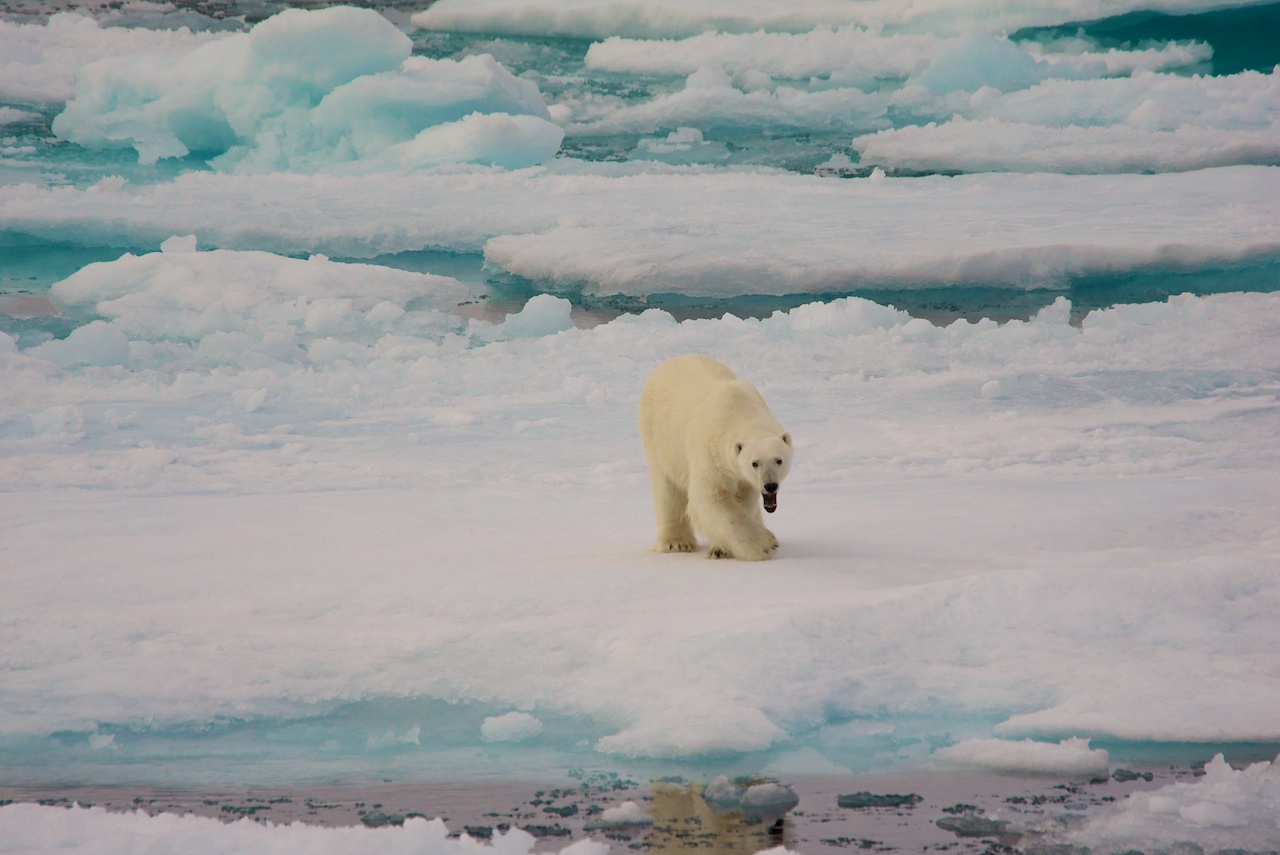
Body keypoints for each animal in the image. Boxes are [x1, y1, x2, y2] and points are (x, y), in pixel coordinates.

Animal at [637, 353, 788, 560]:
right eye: (754, 463)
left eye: (779, 460)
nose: (770, 485)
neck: (740, 411)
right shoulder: (710, 452)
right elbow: (710, 495)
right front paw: (765, 545)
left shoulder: (743, 477)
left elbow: (744, 496)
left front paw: (723, 548)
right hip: (660, 439)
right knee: (668, 488)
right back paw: (677, 542)